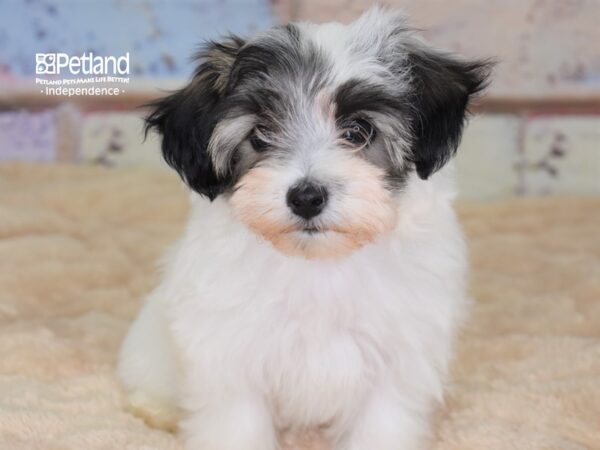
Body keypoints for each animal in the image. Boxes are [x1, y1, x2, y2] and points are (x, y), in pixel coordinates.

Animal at [118, 7, 492, 450]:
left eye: (358, 131)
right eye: (261, 135)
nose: (307, 197)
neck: (319, 264)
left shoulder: (398, 355)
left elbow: (381, 421)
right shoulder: (230, 352)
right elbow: (237, 423)